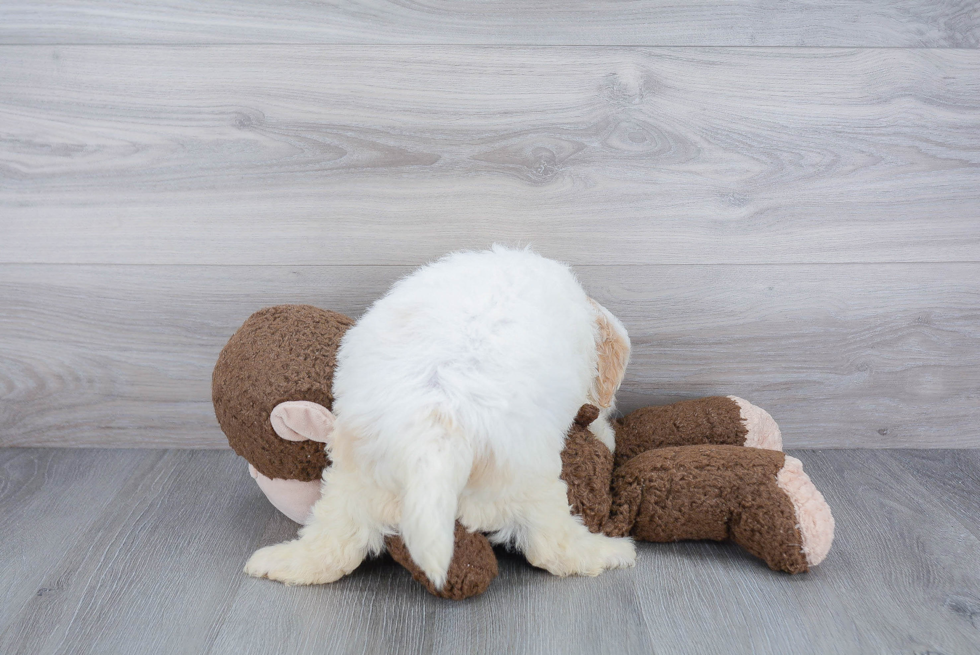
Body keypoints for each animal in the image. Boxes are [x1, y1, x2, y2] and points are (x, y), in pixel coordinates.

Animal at [245, 246, 636, 588]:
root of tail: (435, 437)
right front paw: (606, 432)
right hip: (526, 483)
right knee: (552, 547)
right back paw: (613, 551)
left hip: (356, 479)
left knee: (333, 544)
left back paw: (277, 563)